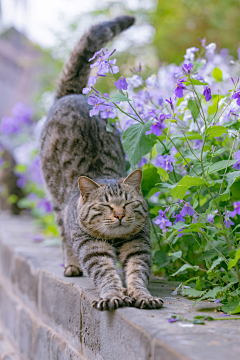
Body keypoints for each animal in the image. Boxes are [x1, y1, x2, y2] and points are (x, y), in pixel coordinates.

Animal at [39, 16, 163, 310]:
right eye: (105, 206)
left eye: (127, 204)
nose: (119, 215)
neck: (115, 240)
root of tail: (73, 94)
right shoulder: (93, 249)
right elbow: (105, 273)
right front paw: (113, 295)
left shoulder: (138, 245)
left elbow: (137, 273)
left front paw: (142, 296)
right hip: (57, 204)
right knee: (64, 238)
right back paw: (72, 266)